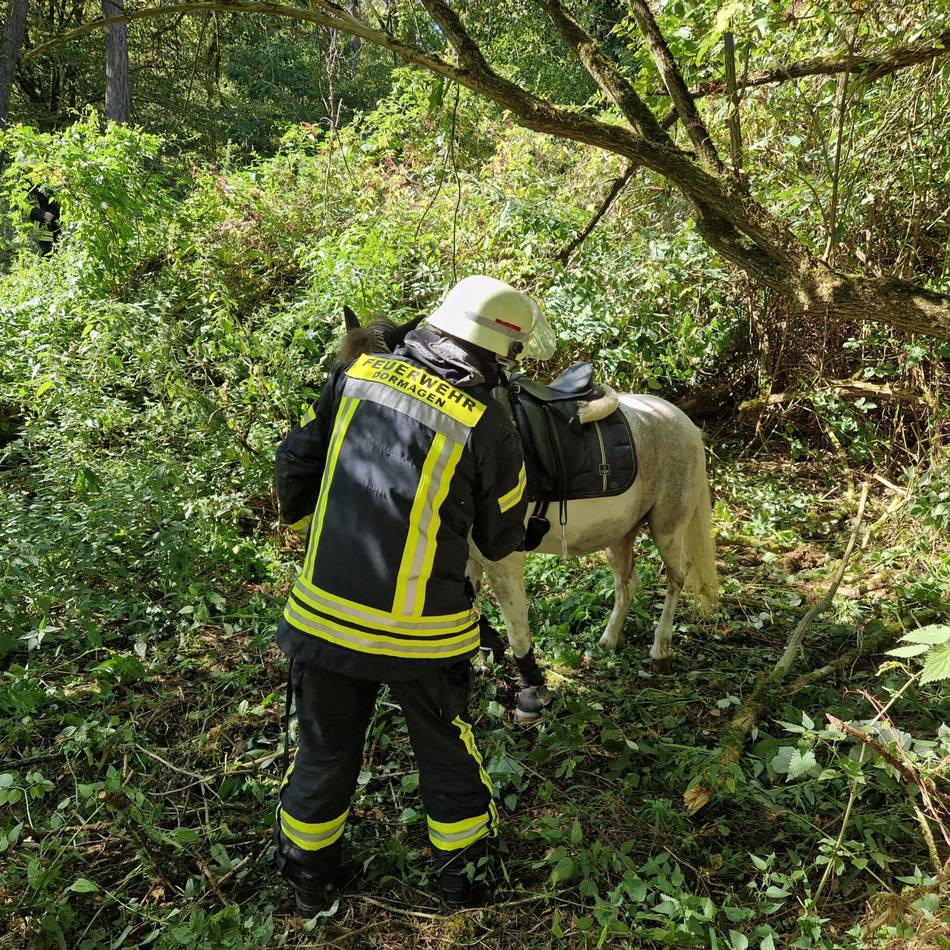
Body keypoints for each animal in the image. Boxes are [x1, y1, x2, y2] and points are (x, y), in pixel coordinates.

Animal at [337, 309, 719, 717]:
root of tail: (681, 419)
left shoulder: (503, 558)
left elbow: (515, 624)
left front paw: (530, 691)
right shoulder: (468, 556)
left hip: (667, 525)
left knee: (677, 576)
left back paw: (660, 650)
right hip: (619, 533)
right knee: (626, 583)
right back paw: (608, 641)